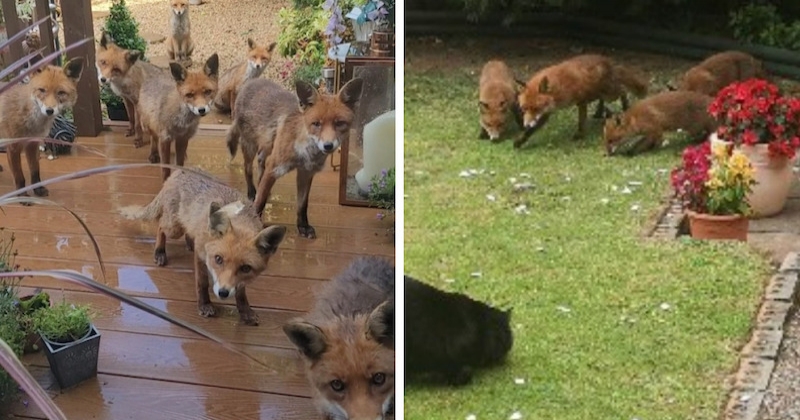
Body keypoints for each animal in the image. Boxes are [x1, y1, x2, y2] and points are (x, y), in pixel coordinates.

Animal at [116, 169, 284, 326]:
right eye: (218, 259)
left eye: (246, 268)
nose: (223, 293)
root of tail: (178, 171)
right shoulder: (201, 255)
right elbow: (202, 284)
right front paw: (204, 305)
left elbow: (241, 292)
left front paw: (245, 311)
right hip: (174, 228)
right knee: (161, 226)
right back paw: (160, 252)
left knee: (185, 229)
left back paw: (188, 241)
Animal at [225, 76, 362, 238]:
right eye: (316, 124)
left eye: (340, 123)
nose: (328, 146)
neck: (304, 152)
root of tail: (252, 80)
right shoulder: (275, 166)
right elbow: (261, 201)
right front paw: (254, 222)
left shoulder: (306, 173)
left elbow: (302, 205)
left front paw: (303, 227)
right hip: (250, 146)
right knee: (247, 169)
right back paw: (252, 192)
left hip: (268, 145)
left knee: (260, 162)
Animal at [512, 53, 648, 148]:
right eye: (524, 109)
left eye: (536, 108)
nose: (525, 124)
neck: (559, 87)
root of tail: (607, 60)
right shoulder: (547, 112)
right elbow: (531, 131)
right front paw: (520, 141)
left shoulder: (581, 101)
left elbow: (581, 121)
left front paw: (580, 135)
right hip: (599, 94)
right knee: (606, 97)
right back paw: (599, 112)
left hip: (610, 95)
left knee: (623, 91)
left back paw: (626, 107)